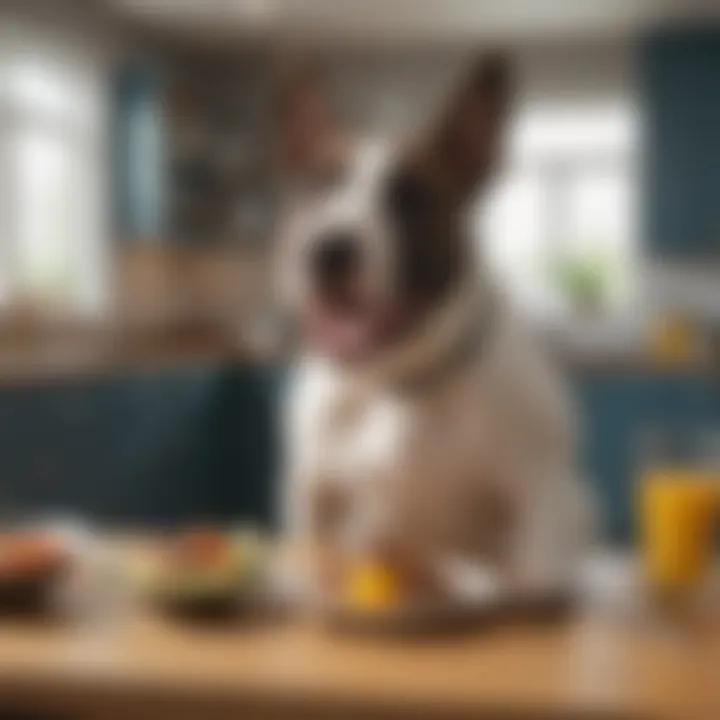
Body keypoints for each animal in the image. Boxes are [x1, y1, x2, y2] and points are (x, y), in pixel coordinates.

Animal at [272, 53, 592, 600]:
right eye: (317, 185)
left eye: (410, 197)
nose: (329, 249)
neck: (399, 380)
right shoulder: (315, 495)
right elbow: (319, 554)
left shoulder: (538, 497)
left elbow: (532, 573)